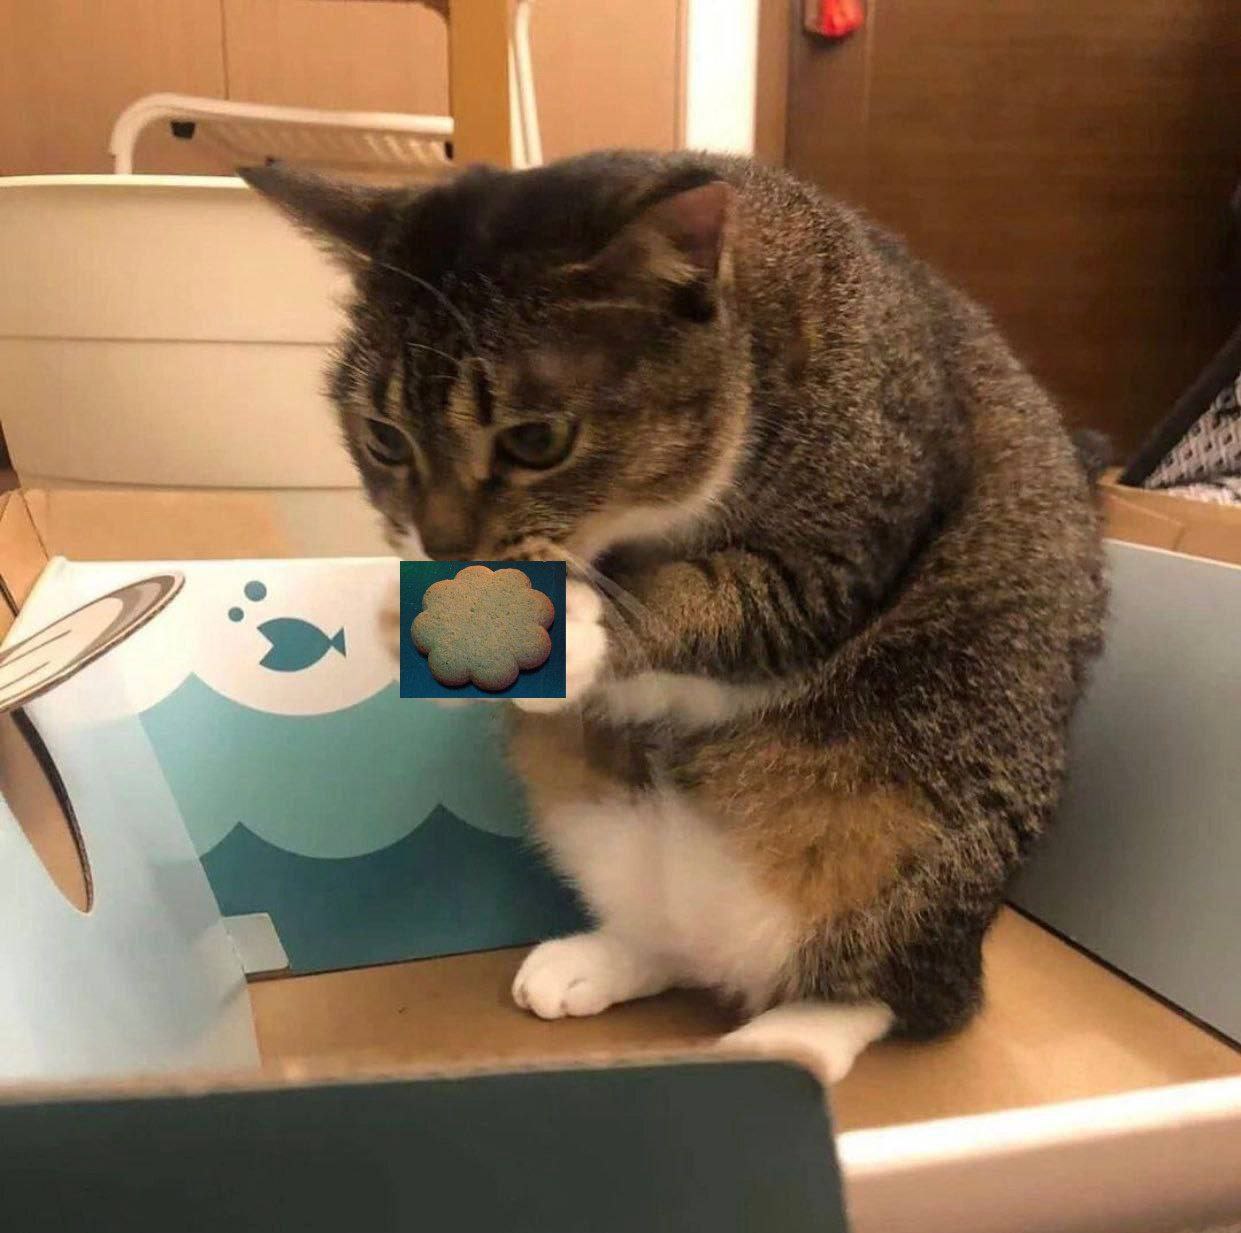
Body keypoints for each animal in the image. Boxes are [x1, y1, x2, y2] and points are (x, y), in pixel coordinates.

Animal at [243, 151, 1107, 1082]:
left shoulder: (838, 557)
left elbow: (712, 595)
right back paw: (606, 957)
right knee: (679, 939)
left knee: (897, 987)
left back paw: (784, 1041)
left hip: (913, 838)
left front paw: (572, 626)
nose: (440, 549)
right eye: (383, 438)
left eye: (536, 440)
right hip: (585, 802)